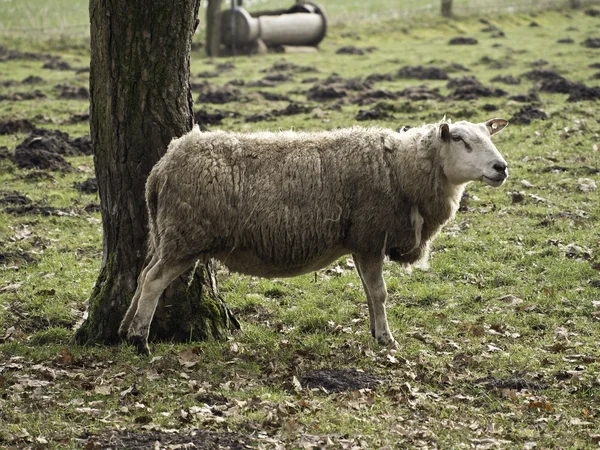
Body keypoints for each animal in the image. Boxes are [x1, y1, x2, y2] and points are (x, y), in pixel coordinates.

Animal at [119, 118, 508, 356]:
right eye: (458, 139)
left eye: (489, 137)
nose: (501, 168)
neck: (401, 168)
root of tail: (161, 168)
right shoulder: (370, 235)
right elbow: (380, 293)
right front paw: (386, 339)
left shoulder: (360, 242)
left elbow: (369, 293)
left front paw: (374, 331)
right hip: (185, 235)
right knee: (153, 280)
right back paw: (139, 339)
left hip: (167, 235)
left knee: (143, 274)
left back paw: (122, 330)